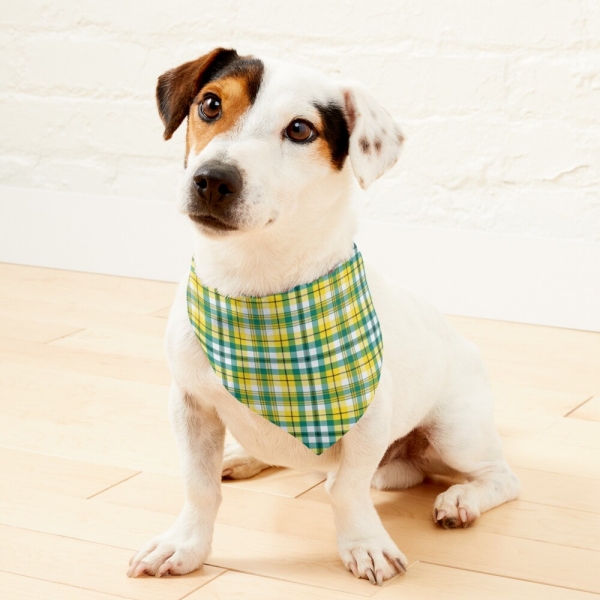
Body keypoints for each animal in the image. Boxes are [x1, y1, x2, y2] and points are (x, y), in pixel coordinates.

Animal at [127, 48, 520, 584]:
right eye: (210, 104)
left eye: (299, 130)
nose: (212, 179)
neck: (256, 288)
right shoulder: (190, 405)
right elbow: (199, 486)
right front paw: (185, 545)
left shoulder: (369, 420)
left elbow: (347, 490)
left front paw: (365, 544)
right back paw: (244, 456)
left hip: (456, 432)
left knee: (500, 477)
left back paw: (461, 499)